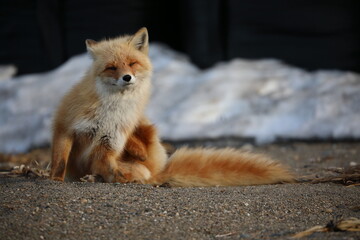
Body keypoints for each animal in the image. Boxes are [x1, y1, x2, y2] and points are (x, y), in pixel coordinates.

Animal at [50, 27, 294, 186]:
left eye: (132, 63)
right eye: (111, 67)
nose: (127, 77)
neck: (109, 112)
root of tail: (160, 170)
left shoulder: (109, 143)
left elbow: (109, 166)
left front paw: (115, 175)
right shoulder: (65, 127)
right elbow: (59, 160)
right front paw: (54, 179)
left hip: (144, 133)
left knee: (140, 169)